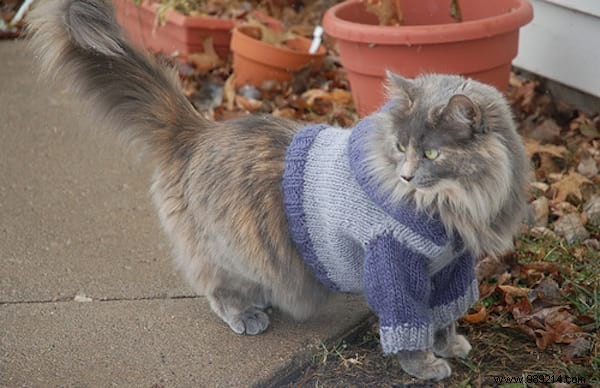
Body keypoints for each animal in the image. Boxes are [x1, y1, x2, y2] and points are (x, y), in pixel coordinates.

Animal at [29, 0, 524, 382]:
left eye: (432, 154)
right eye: (402, 147)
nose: (404, 177)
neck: (454, 207)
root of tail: (199, 130)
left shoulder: (450, 270)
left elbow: (446, 314)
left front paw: (451, 345)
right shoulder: (393, 264)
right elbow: (409, 326)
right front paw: (422, 366)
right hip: (233, 245)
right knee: (214, 285)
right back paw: (247, 314)